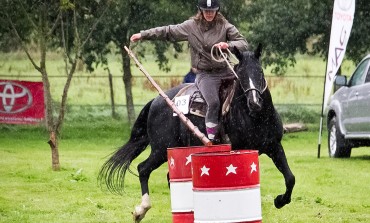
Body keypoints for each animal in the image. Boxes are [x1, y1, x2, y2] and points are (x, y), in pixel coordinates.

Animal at [97, 44, 294, 222]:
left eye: (260, 72)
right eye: (241, 74)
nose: (254, 102)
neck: (256, 117)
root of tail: (156, 100)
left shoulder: (275, 147)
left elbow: (290, 178)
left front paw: (280, 200)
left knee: (169, 177)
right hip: (161, 149)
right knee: (143, 168)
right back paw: (141, 210)